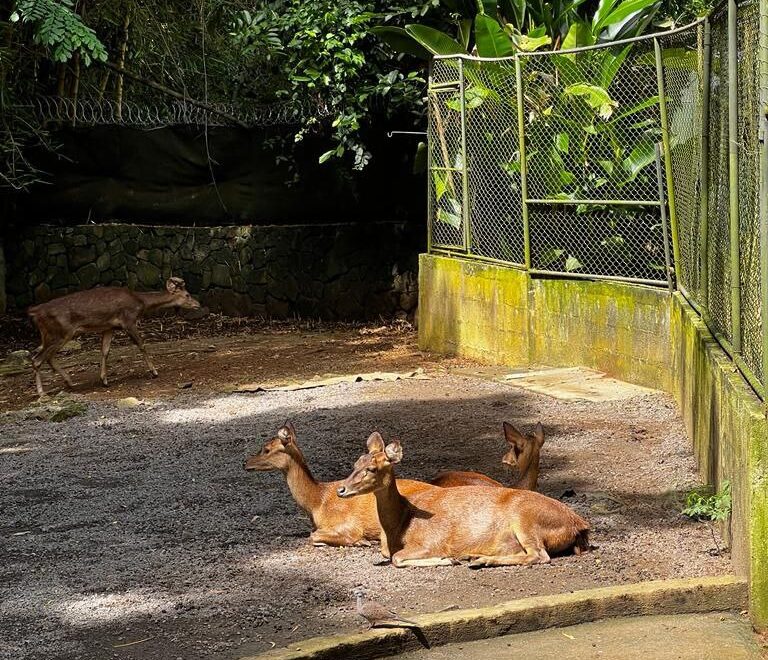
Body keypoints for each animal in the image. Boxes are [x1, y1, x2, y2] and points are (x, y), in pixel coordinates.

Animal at [27, 277, 201, 395]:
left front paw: (104, 380)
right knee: (37, 359)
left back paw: (70, 382)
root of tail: (35, 312)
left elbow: (105, 351)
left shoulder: (109, 327)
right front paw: (154, 372)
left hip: (53, 334)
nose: (198, 304)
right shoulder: (128, 321)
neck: (141, 303)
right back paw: (42, 392)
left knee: (47, 357)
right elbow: (142, 344)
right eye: (187, 294)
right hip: (59, 332)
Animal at [243, 421, 541, 547]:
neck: (317, 501)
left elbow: (316, 536)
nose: (245, 462)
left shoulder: (347, 524)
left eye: (266, 448)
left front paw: (360, 543)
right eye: (354, 464)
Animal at [336, 432, 590, 568]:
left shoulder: (430, 541)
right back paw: (476, 556)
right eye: (355, 463)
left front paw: (447, 559)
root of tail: (580, 525)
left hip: (525, 518)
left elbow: (398, 558)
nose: (341, 489)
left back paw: (480, 560)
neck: (400, 525)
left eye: (371, 468)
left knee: (539, 555)